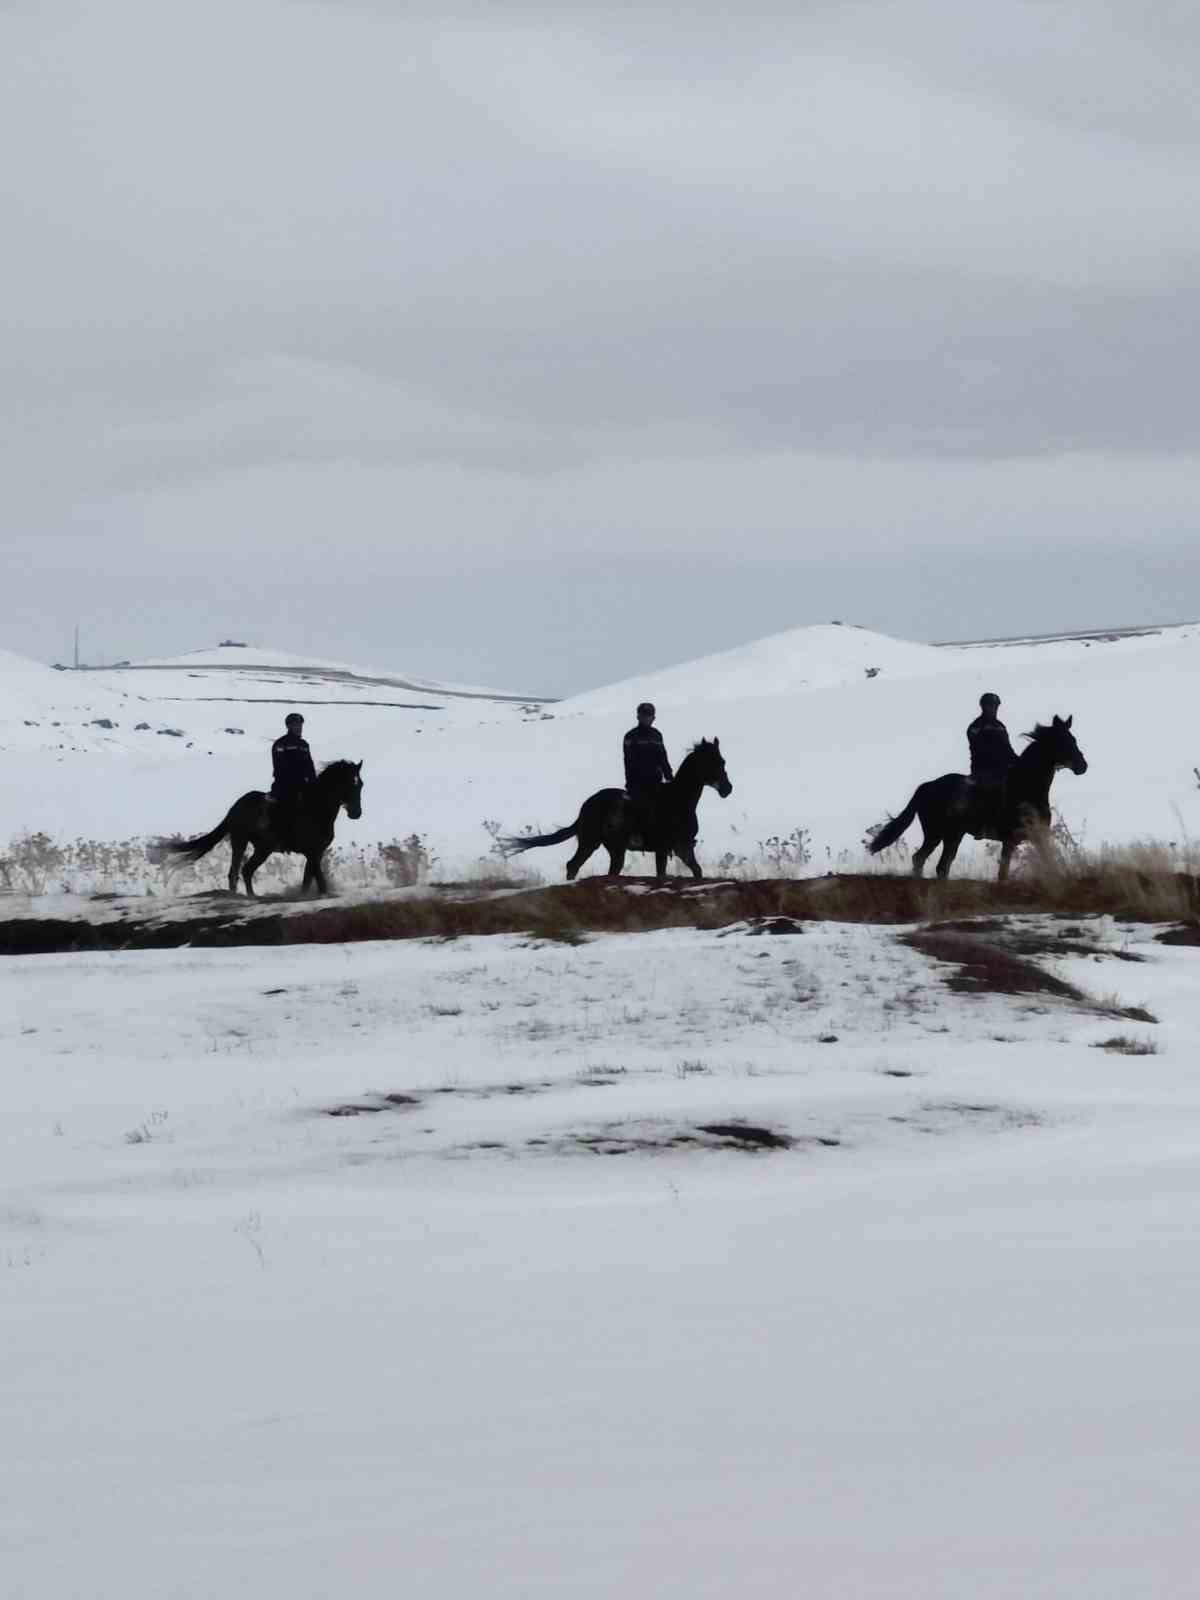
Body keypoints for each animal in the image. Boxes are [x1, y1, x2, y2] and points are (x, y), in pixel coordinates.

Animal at [155, 755, 364, 896]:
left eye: (360, 784)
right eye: (350, 784)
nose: (356, 813)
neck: (317, 807)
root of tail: (235, 807)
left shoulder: (316, 852)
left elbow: (309, 879)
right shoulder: (312, 852)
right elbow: (319, 879)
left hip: (260, 847)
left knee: (243, 871)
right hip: (245, 843)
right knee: (238, 871)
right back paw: (247, 896)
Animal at [499, 732, 732, 883]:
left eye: (722, 761)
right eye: (711, 762)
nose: (727, 789)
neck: (677, 801)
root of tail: (586, 807)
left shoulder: (678, 848)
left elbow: (694, 871)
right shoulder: (669, 848)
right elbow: (669, 873)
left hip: (609, 847)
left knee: (592, 867)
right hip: (595, 843)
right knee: (575, 865)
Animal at [870, 720, 1094, 883]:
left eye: (1073, 738)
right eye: (1063, 741)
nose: (1082, 765)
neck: (1025, 786)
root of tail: (927, 786)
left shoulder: (1037, 836)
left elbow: (1047, 862)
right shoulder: (1012, 839)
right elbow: (1004, 872)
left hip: (952, 836)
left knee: (938, 864)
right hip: (938, 834)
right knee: (924, 860)